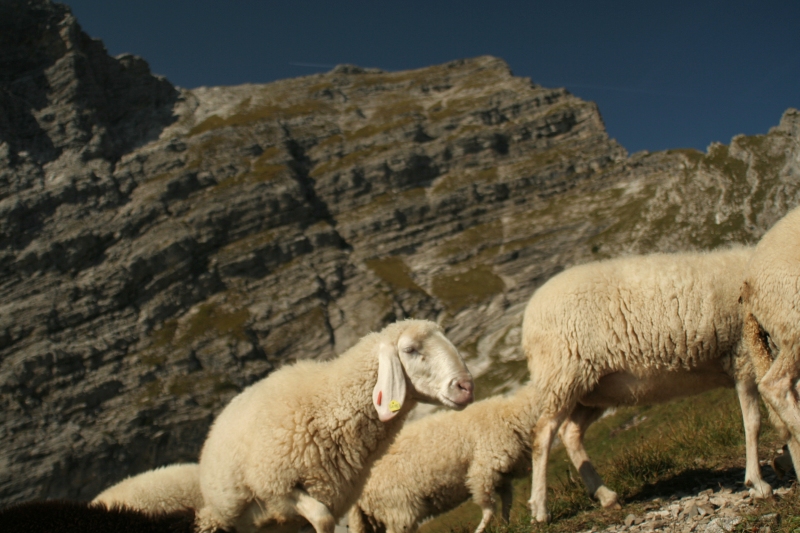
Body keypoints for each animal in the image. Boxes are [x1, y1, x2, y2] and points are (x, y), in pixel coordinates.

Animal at [349, 385, 537, 533]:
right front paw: (482, 529)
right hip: (398, 510)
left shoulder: (501, 476)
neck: (512, 414)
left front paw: (506, 525)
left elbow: (507, 503)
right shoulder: (483, 472)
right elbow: (489, 508)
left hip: (374, 519)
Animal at [522, 247, 771, 523]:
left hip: (592, 390)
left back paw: (605, 496)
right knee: (542, 436)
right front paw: (757, 483)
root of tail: (529, 315)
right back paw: (540, 509)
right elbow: (754, 423)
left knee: (570, 433)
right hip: (562, 375)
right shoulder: (744, 356)